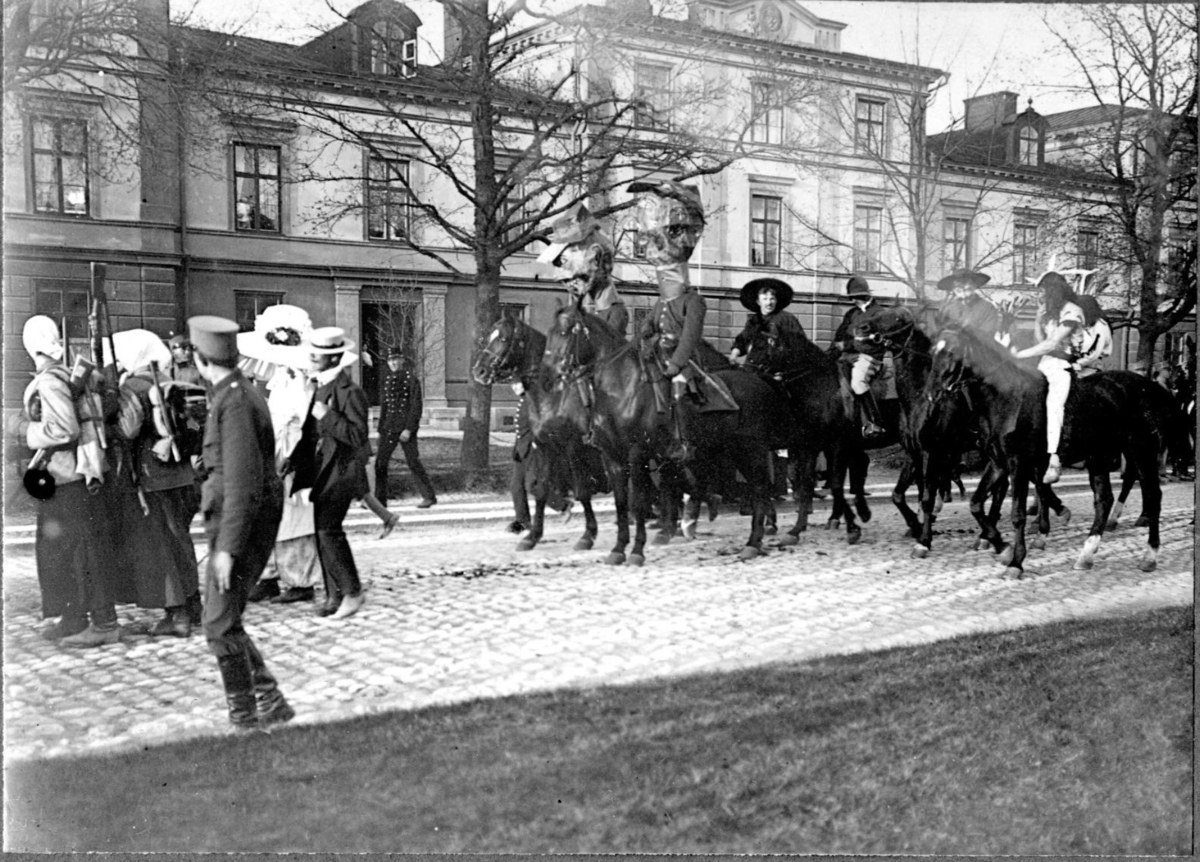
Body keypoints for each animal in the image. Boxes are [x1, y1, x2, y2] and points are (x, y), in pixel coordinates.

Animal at [465, 316, 604, 554]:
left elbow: (583, 489)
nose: (479, 372)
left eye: (503, 338)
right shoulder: (545, 447)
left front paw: (588, 535)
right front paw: (532, 536)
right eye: (488, 335)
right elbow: (540, 490)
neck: (553, 395)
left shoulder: (573, 447)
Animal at [544, 303, 787, 566]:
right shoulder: (611, 457)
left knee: (761, 488)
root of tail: (759, 380)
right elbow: (621, 502)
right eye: (550, 332)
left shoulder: (637, 455)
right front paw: (618, 549)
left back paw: (752, 542)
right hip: (727, 450)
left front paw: (637, 551)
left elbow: (639, 502)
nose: (547, 375)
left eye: (566, 331)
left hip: (751, 450)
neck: (621, 389)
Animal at [926, 326, 1171, 576]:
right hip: (1100, 457)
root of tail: (1152, 387)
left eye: (952, 352)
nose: (932, 394)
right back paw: (1087, 554)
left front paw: (1016, 561)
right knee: (1104, 499)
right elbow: (976, 504)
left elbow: (1018, 513)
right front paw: (1002, 547)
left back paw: (1150, 555)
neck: (1007, 400)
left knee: (1152, 495)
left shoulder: (1018, 464)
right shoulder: (998, 463)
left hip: (1141, 452)